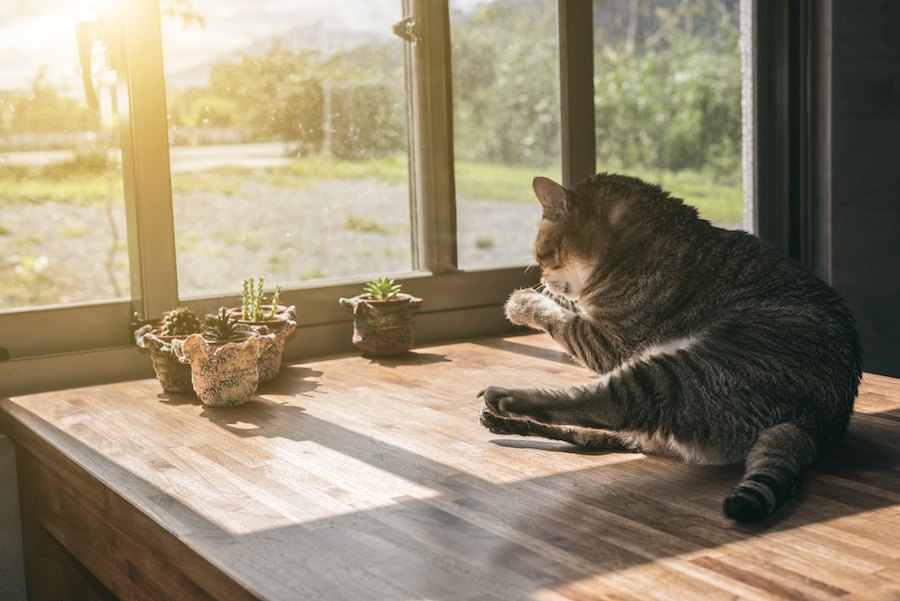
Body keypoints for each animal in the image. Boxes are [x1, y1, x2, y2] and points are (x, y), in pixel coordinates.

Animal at [482, 172, 860, 520]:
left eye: (542, 256)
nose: (542, 278)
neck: (639, 243)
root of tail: (820, 418)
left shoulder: (606, 341)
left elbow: (560, 317)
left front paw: (522, 301)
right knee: (593, 432)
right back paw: (502, 422)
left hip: (675, 372)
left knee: (603, 405)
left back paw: (507, 400)